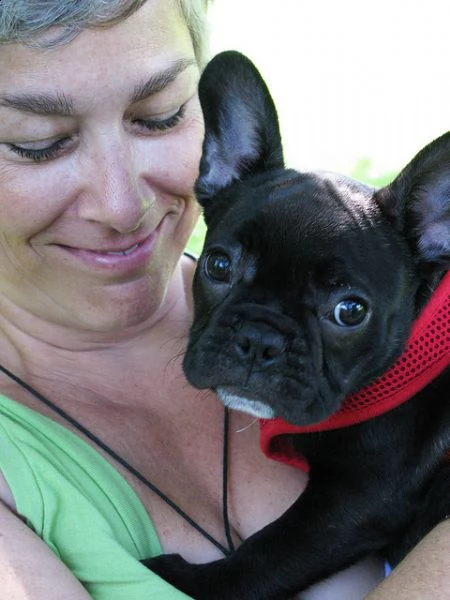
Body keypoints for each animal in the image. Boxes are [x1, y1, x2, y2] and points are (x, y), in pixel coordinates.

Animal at [145, 51, 450, 600]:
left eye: (350, 311)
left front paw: (179, 578)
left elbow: (265, 556)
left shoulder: (358, 497)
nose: (258, 341)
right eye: (217, 265)